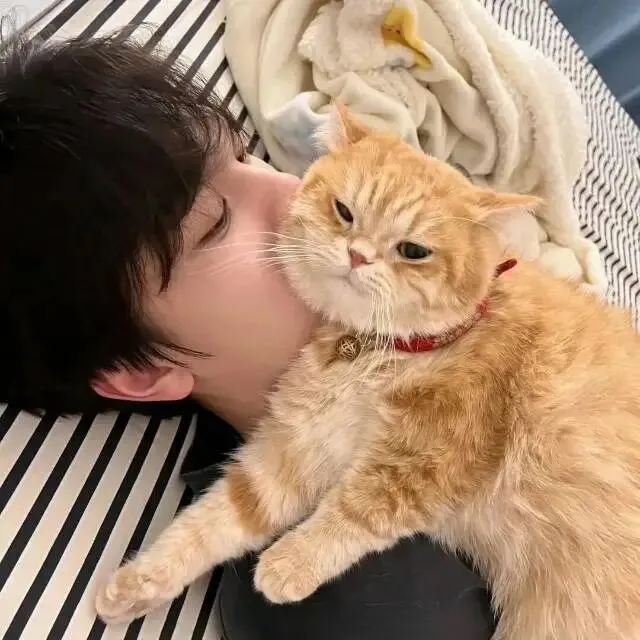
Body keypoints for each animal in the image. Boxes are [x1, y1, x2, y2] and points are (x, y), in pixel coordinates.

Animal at [95, 106, 640, 640]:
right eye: (344, 211)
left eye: (413, 251)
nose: (358, 255)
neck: (383, 351)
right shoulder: (294, 450)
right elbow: (219, 517)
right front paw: (139, 581)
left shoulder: (426, 462)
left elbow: (359, 509)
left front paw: (289, 563)